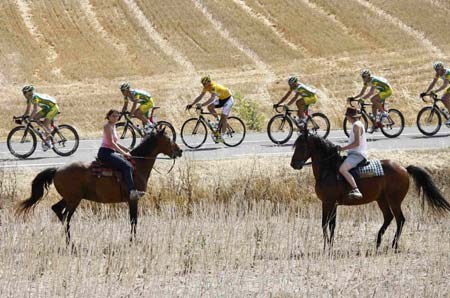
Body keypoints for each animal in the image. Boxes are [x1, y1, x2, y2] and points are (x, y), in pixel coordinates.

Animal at [16, 130, 181, 242]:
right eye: (168, 139)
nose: (179, 151)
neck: (137, 165)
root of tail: (57, 170)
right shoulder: (133, 199)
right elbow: (133, 221)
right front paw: (133, 241)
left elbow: (133, 221)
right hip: (74, 200)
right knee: (66, 217)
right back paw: (71, 243)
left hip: (70, 198)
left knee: (57, 210)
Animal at [290, 133, 450, 249]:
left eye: (301, 146)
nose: (293, 164)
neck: (329, 170)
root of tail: (404, 168)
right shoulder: (329, 204)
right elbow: (329, 224)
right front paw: (329, 246)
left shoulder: (329, 202)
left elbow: (327, 224)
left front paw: (327, 247)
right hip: (382, 199)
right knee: (388, 217)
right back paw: (378, 242)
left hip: (394, 200)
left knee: (400, 219)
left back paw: (394, 244)